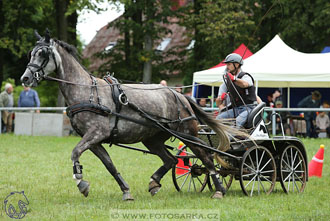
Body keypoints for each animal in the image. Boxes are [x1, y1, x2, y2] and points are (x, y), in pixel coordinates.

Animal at [20, 30, 233, 200]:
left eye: (43, 53)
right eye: (31, 53)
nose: (25, 78)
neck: (86, 90)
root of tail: (180, 95)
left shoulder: (96, 133)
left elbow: (75, 152)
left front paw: (80, 181)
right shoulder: (94, 141)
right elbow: (109, 165)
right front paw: (125, 191)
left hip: (187, 134)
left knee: (206, 157)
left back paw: (219, 190)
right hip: (153, 139)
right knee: (171, 160)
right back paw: (154, 183)